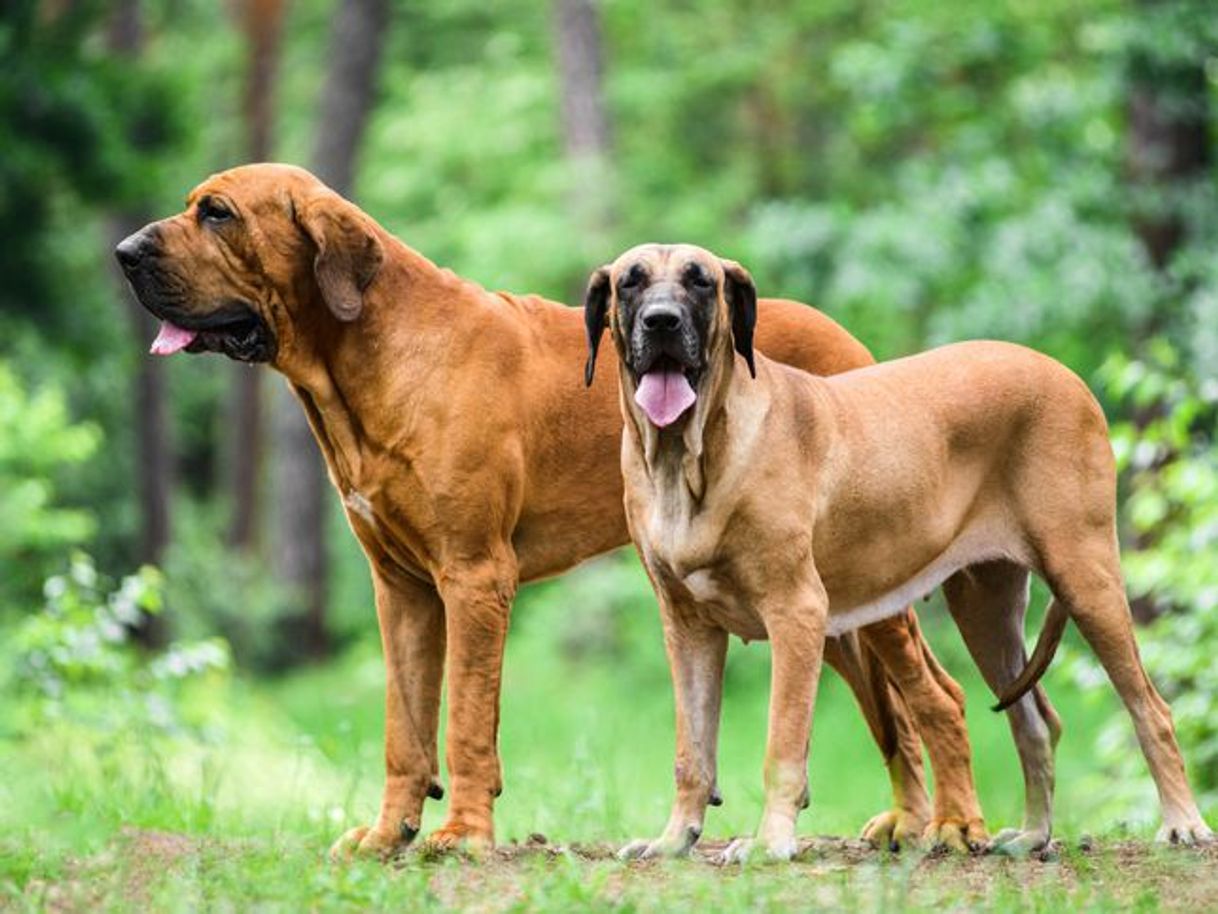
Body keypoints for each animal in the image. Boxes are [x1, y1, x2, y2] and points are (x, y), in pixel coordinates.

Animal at [118, 164, 984, 857]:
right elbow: (405, 728)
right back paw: (908, 822)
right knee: (893, 708)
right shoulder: (401, 591)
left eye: (217, 213)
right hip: (832, 605)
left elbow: (466, 720)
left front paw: (463, 835)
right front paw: (390, 833)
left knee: (935, 695)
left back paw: (951, 827)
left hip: (860, 589)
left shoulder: (474, 577)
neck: (373, 353)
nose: (123, 252)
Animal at [584, 241, 1213, 857]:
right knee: (1035, 720)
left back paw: (1182, 824)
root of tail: (1065, 374)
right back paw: (1034, 834)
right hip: (986, 611)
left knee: (1151, 708)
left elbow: (782, 744)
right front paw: (674, 838)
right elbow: (691, 751)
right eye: (630, 281)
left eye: (701, 281)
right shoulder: (688, 627)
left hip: (1086, 576)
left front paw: (769, 844)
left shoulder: (796, 612)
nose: (662, 321)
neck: (687, 458)